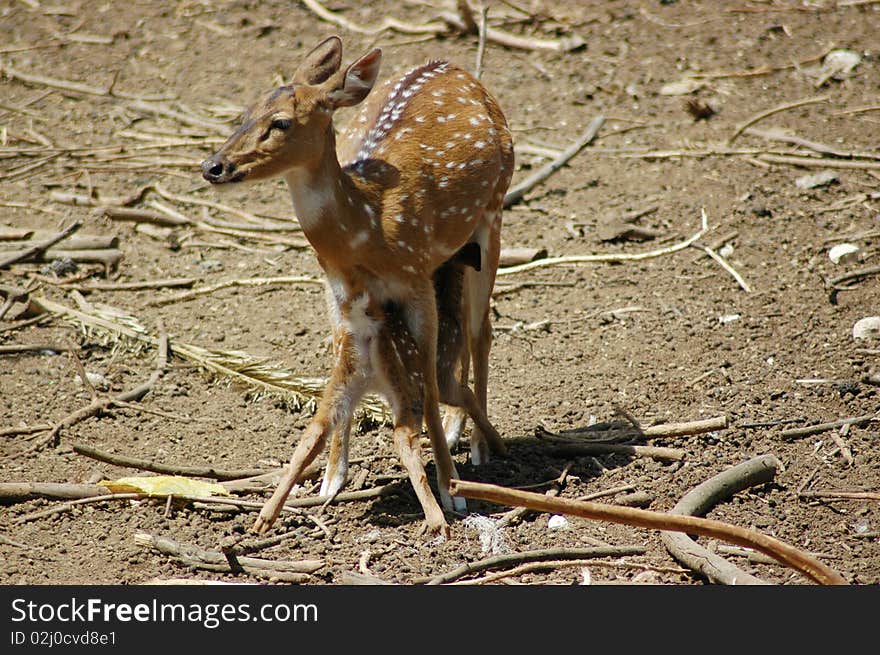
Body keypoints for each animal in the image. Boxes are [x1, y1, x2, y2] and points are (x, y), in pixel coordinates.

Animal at [202, 36, 512, 536]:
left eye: (281, 122)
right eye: (245, 113)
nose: (213, 166)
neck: (367, 228)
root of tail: (453, 65)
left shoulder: (414, 277)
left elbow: (425, 379)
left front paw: (452, 491)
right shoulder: (338, 290)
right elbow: (339, 369)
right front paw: (331, 477)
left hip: (494, 211)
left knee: (479, 330)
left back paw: (479, 448)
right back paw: (454, 432)